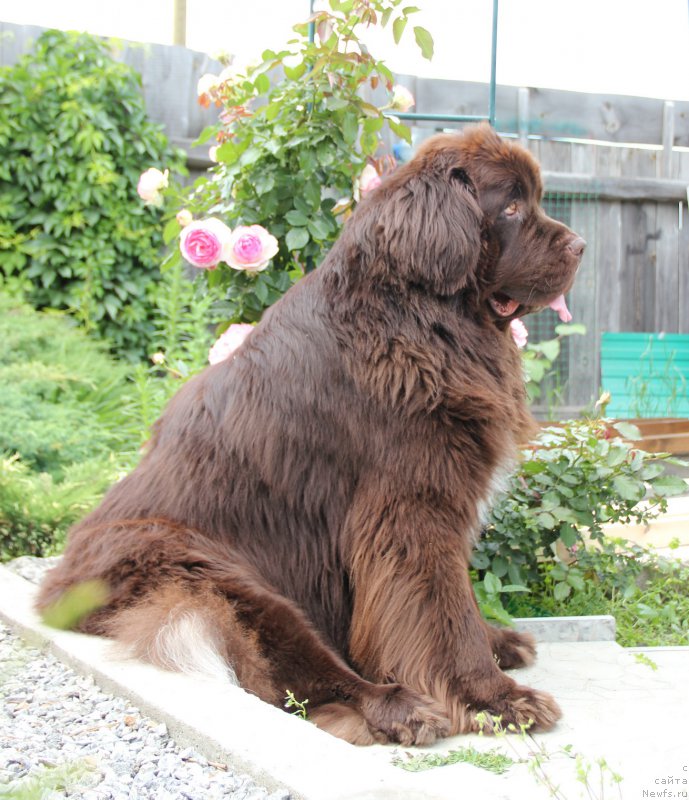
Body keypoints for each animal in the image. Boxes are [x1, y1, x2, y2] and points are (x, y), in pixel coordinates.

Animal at [39, 123, 584, 744]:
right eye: (511, 207)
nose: (580, 247)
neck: (422, 317)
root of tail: (57, 584)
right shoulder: (412, 508)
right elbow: (442, 609)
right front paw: (493, 698)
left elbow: (455, 597)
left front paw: (498, 645)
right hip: (218, 575)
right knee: (305, 676)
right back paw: (398, 707)